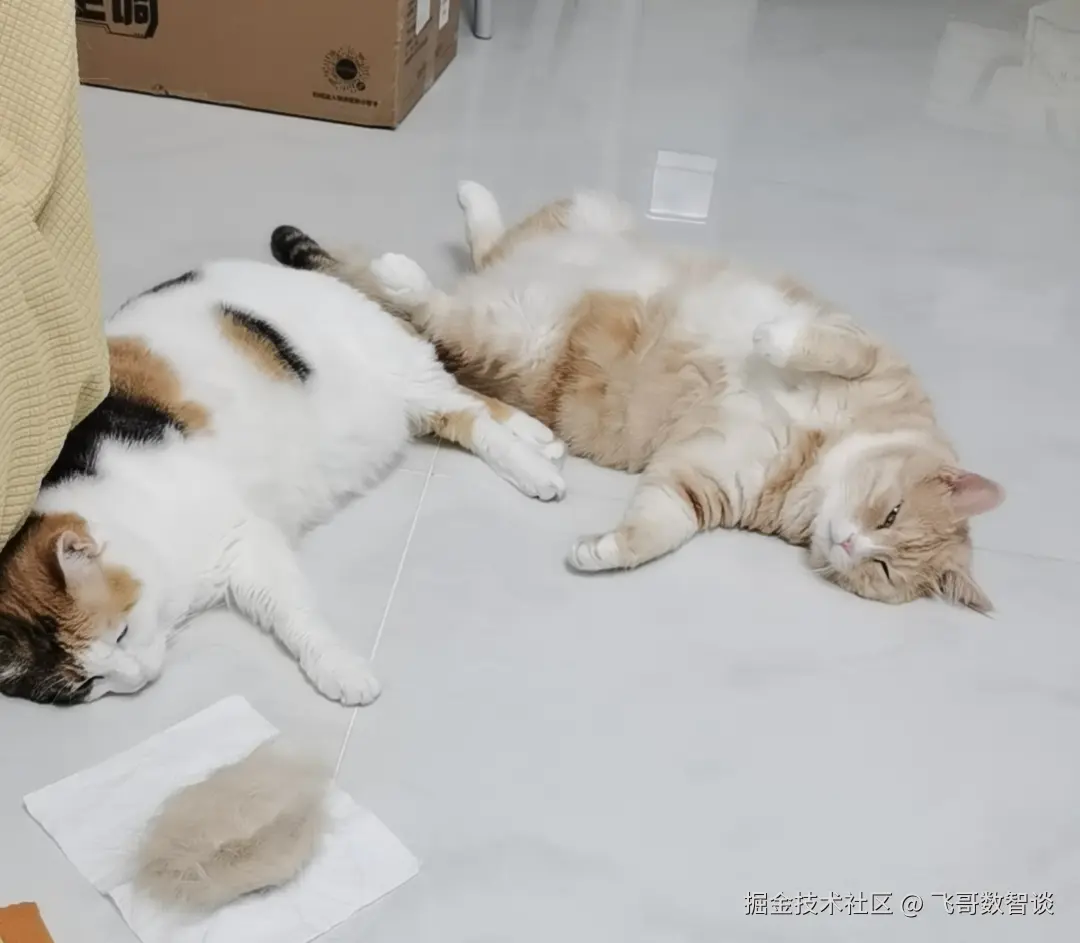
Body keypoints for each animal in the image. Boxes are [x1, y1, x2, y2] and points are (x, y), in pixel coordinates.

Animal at [0, 258, 566, 705]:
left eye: (119, 634)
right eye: (88, 685)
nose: (137, 680)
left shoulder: (246, 541)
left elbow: (296, 615)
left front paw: (342, 671)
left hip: (401, 374)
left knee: (470, 411)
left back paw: (538, 464)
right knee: (469, 409)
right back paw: (539, 439)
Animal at [270, 181, 1005, 610]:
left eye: (881, 572)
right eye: (891, 514)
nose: (850, 544)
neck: (816, 455)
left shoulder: (704, 480)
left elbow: (659, 526)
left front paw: (602, 552)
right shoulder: (865, 347)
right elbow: (833, 346)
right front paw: (772, 339)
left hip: (507, 336)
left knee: (442, 305)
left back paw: (413, 269)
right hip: (581, 224)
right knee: (479, 257)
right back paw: (459, 212)